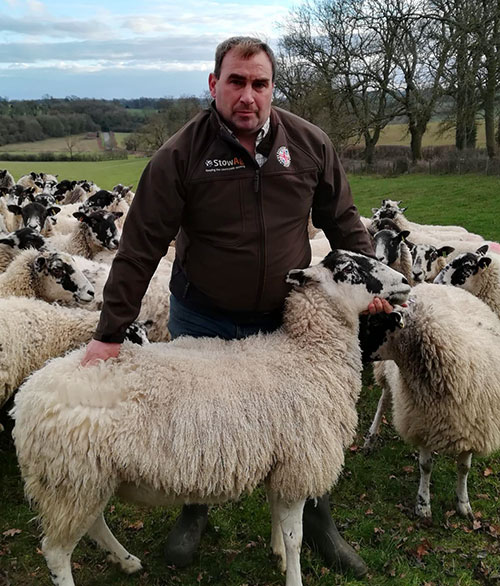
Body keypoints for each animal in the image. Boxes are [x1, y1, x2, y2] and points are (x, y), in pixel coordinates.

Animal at [362, 282, 500, 516]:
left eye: (375, 321)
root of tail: (431, 283)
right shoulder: (423, 423)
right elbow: (426, 466)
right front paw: (423, 504)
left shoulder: (473, 430)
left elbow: (464, 468)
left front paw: (463, 503)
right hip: (386, 374)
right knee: (383, 403)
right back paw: (371, 438)